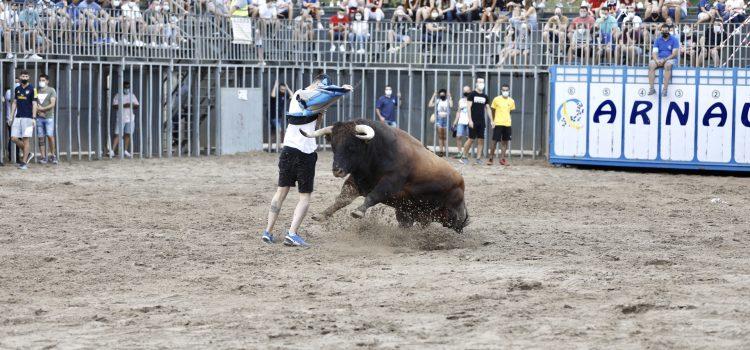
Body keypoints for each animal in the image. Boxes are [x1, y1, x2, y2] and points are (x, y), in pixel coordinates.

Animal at [302, 119, 470, 234]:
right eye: (334, 146)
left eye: (352, 146)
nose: (337, 170)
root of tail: (461, 181)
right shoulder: (356, 182)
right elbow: (342, 199)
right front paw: (321, 214)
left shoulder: (391, 182)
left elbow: (374, 195)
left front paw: (358, 211)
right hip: (409, 214)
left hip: (454, 215)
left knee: (458, 225)